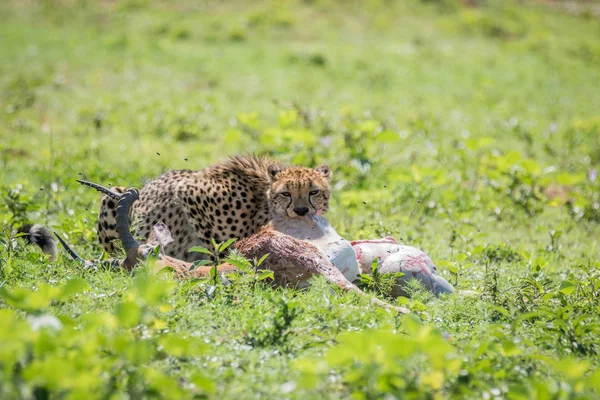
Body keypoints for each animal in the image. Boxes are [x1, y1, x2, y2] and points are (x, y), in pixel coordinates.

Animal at [92, 155, 332, 260]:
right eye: (286, 193)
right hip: (113, 195)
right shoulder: (189, 191)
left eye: (314, 192)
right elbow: (217, 247)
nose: (301, 211)